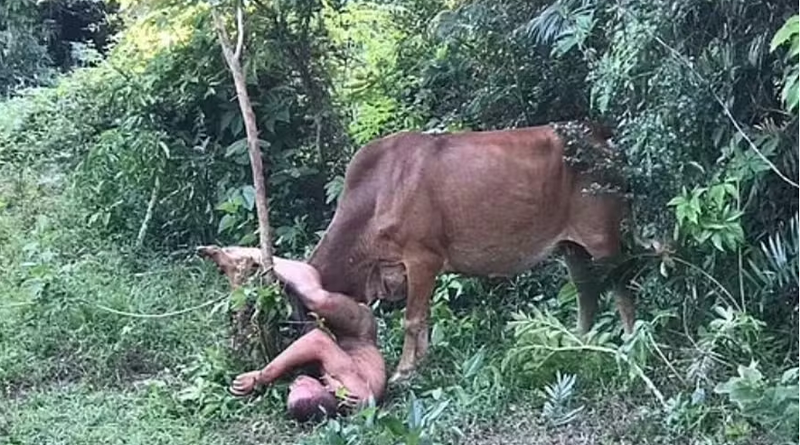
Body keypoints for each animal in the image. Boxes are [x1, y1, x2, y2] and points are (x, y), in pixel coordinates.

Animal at [304, 120, 634, 382]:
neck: (374, 198)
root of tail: (604, 140)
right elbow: (424, 317)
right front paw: (422, 361)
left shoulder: (422, 258)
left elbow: (412, 320)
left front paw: (404, 370)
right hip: (571, 246)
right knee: (586, 291)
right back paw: (579, 341)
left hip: (602, 237)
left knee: (621, 286)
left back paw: (632, 342)